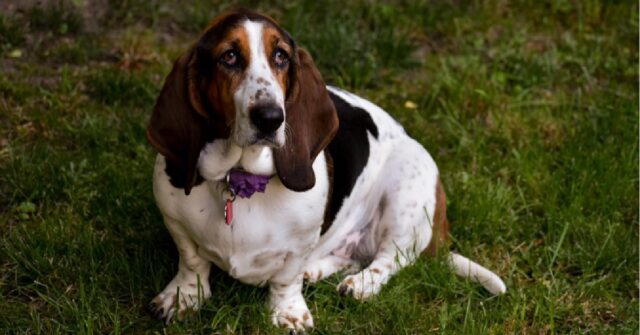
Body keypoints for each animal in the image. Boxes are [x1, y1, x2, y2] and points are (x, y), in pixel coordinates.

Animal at [146, 8, 504, 334]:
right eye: (229, 56)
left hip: (407, 192)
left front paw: (288, 313)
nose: (271, 117)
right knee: (356, 254)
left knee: (391, 258)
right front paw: (183, 297)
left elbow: (286, 278)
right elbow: (192, 261)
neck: (240, 178)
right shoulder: (174, 220)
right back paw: (317, 270)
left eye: (281, 56)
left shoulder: (300, 242)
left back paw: (360, 284)